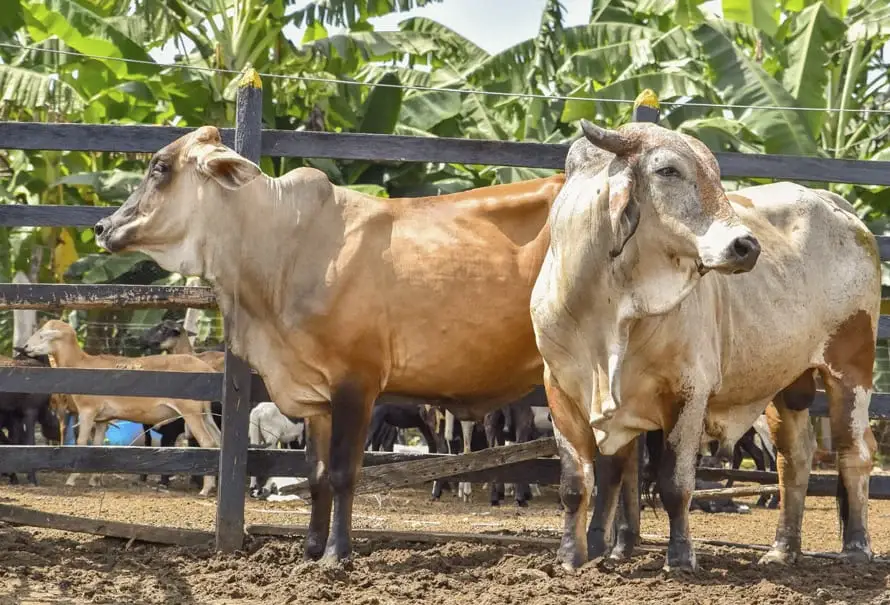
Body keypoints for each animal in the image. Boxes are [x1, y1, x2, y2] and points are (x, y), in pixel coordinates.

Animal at [90, 125, 560, 564]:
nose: (101, 227)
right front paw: (310, 549)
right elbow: (315, 475)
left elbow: (341, 472)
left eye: (160, 167)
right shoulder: (315, 395)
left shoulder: (356, 383)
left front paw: (337, 553)